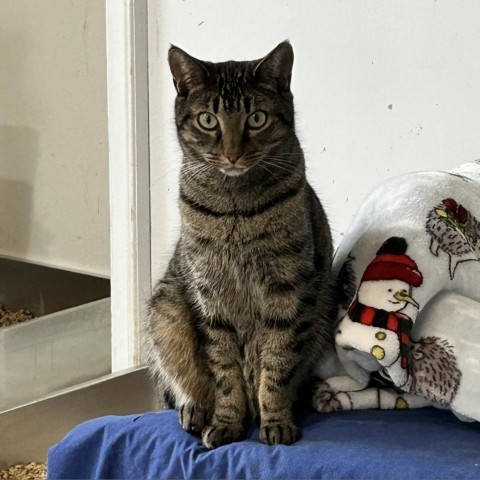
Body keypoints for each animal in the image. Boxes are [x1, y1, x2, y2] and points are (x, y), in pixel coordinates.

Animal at [144, 41, 336, 450]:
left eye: (257, 118)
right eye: (208, 120)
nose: (232, 153)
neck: (236, 208)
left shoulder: (286, 291)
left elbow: (276, 366)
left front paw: (275, 420)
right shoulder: (210, 297)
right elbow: (225, 373)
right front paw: (227, 421)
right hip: (166, 313)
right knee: (184, 384)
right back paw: (195, 409)